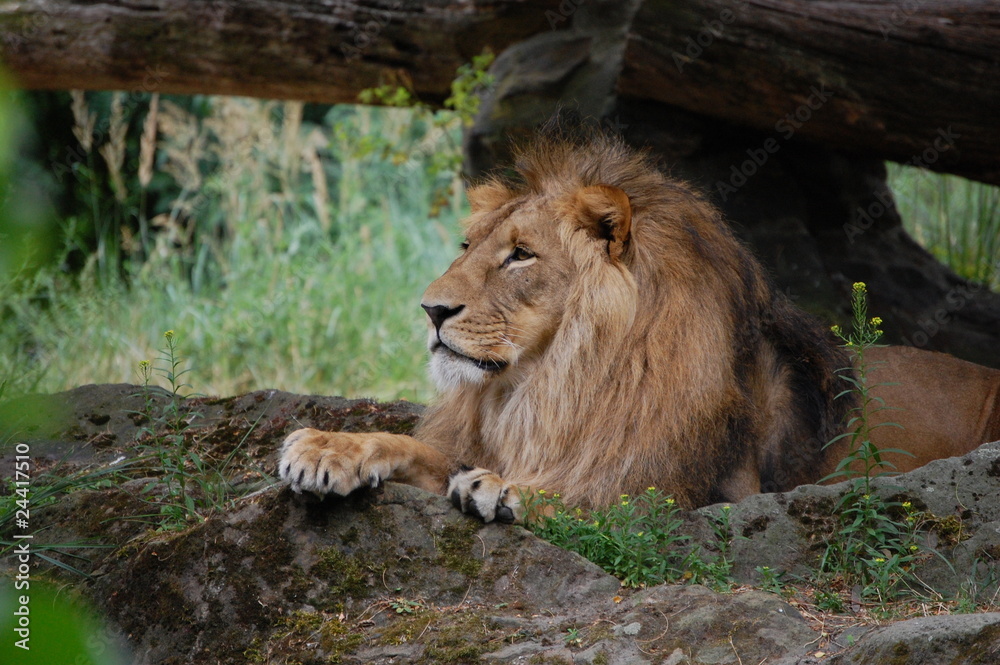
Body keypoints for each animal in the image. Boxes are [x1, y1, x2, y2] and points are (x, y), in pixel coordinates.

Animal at [278, 126, 1000, 522]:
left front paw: (506, 486)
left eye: (521, 254)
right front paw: (326, 448)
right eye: (467, 245)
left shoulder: (718, 489)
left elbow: (613, 489)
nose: (431, 310)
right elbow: (411, 445)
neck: (553, 379)